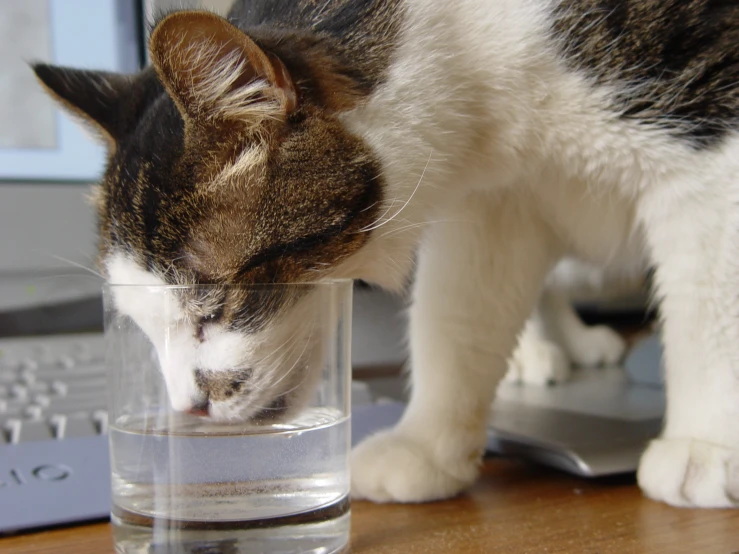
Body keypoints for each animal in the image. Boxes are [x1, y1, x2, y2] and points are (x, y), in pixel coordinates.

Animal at [34, 0, 739, 506]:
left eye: (212, 310)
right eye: (139, 327)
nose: (186, 406)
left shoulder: (712, 139)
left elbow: (709, 309)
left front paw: (703, 444)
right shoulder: (493, 205)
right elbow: (457, 319)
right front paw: (425, 447)